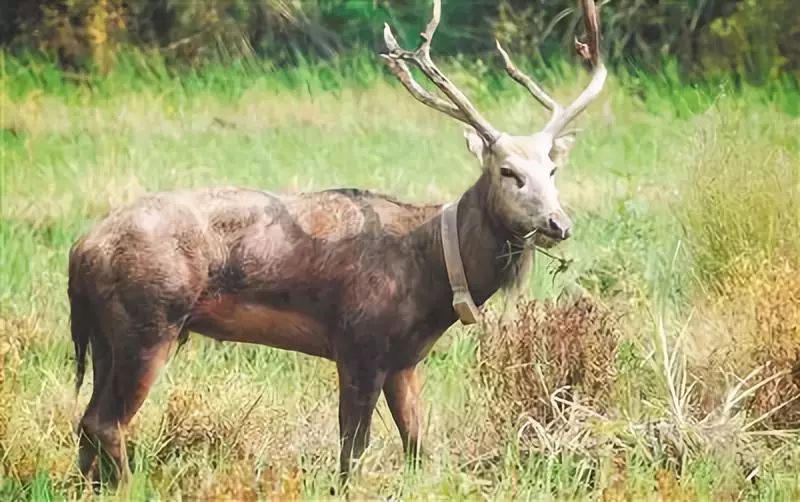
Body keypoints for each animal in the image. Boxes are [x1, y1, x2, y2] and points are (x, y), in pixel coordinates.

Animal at [70, 0, 608, 488]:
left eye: (552, 170)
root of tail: (81, 251)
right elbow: (352, 454)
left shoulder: (404, 360)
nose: (559, 223)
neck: (433, 273)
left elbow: (418, 449)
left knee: (86, 422)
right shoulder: (359, 342)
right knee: (106, 423)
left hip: (106, 335)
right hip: (149, 320)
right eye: (508, 172)